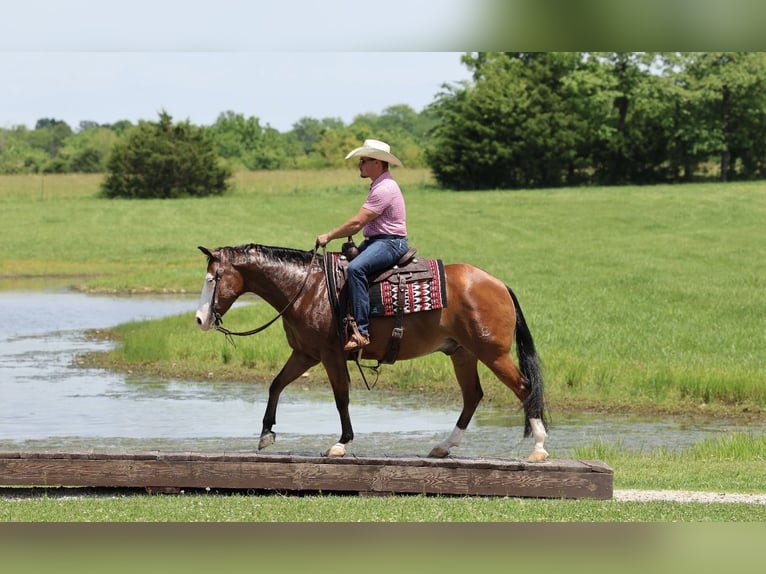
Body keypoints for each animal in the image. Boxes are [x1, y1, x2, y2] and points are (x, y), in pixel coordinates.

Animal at [195, 243, 549, 461]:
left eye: (213, 278)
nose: (199, 319)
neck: (308, 289)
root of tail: (499, 284)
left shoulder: (330, 355)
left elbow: (341, 397)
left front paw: (341, 443)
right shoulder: (305, 354)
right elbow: (276, 385)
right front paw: (267, 433)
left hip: (493, 354)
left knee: (524, 388)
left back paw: (539, 447)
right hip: (463, 353)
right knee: (473, 395)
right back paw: (443, 447)